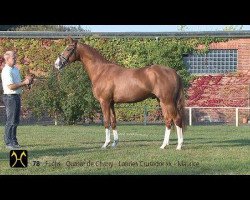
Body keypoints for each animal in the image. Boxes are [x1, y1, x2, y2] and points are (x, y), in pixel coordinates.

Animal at [55, 37, 187, 150]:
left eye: (69, 48)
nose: (57, 64)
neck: (101, 71)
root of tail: (174, 72)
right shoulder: (111, 103)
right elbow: (113, 122)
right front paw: (114, 143)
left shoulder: (104, 102)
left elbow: (106, 122)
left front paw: (105, 144)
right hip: (162, 102)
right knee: (168, 120)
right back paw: (164, 145)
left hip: (168, 101)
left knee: (176, 119)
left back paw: (179, 145)